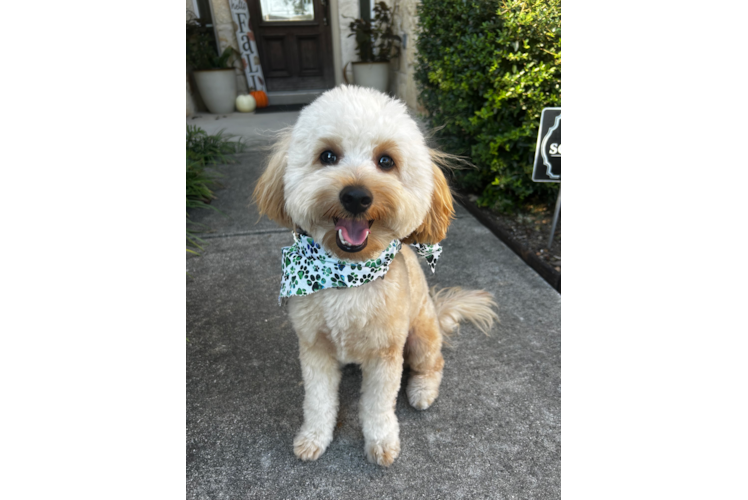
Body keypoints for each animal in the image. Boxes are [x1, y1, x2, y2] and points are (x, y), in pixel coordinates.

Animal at [253, 85, 496, 464]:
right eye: (327, 156)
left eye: (386, 161)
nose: (356, 196)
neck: (348, 275)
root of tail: (436, 310)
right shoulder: (314, 348)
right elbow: (318, 400)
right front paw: (314, 437)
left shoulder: (385, 354)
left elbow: (379, 405)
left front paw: (381, 441)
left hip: (421, 336)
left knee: (433, 363)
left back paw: (422, 390)